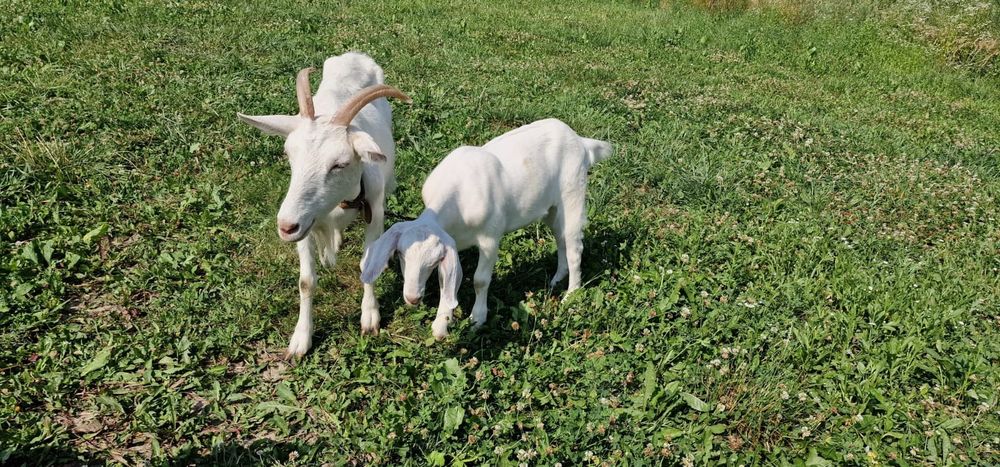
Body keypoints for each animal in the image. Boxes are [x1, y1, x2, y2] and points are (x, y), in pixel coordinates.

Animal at [237, 52, 410, 356]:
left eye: (340, 163)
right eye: (288, 154)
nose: (285, 226)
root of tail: (354, 55)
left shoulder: (374, 212)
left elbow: (367, 265)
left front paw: (370, 317)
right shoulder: (306, 222)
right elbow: (306, 281)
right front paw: (300, 339)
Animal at [360, 118, 613, 339]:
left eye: (431, 262)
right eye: (401, 254)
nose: (412, 298)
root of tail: (580, 141)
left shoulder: (491, 237)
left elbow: (480, 280)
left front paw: (476, 318)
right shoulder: (451, 242)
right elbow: (446, 280)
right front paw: (442, 323)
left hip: (573, 192)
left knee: (574, 246)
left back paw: (571, 294)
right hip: (551, 208)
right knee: (561, 239)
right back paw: (557, 278)